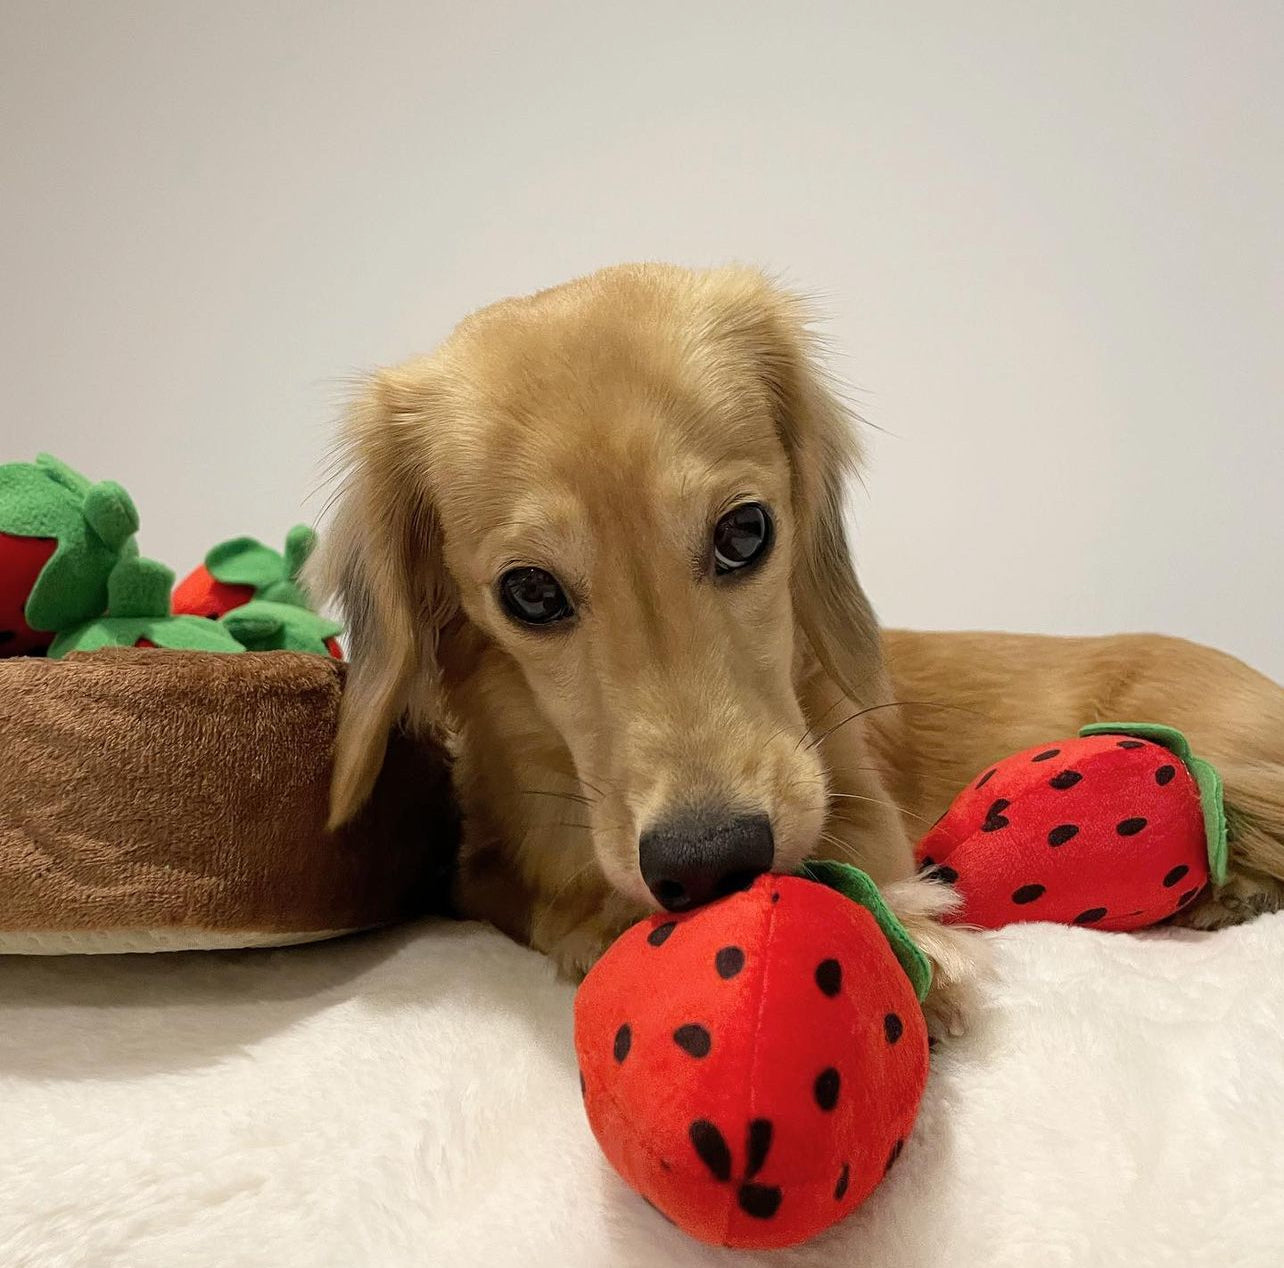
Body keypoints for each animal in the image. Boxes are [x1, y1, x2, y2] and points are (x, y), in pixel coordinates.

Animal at [310, 263, 1284, 1036]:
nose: (710, 862)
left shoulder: (850, 793)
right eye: (530, 592)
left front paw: (910, 930)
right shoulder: (485, 862)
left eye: (745, 532)